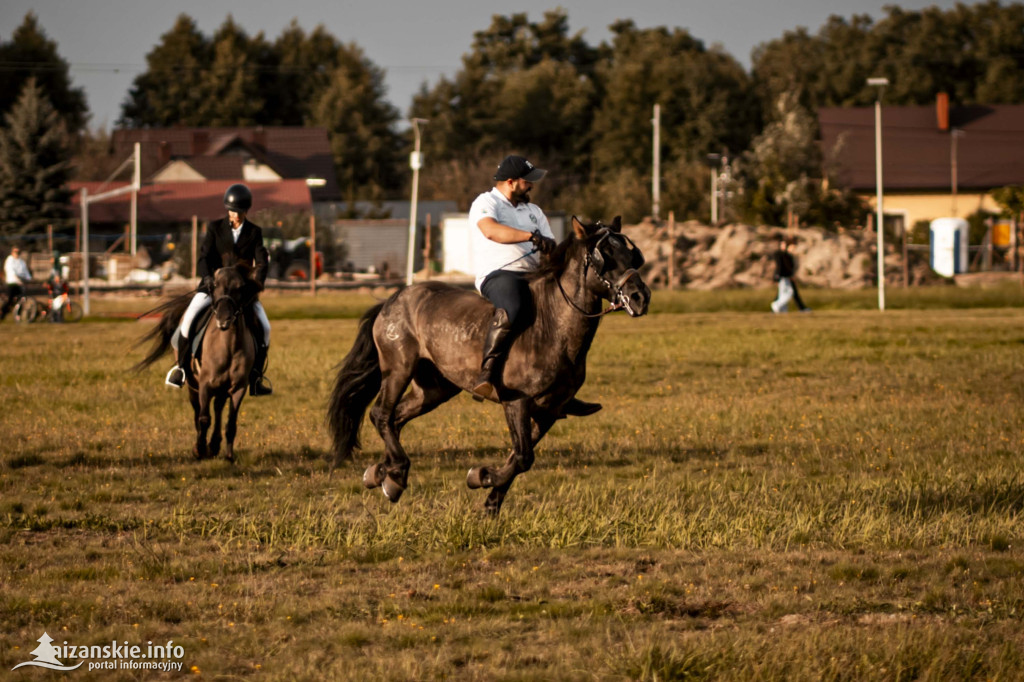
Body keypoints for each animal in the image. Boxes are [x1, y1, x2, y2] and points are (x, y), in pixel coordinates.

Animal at [134, 262, 262, 458]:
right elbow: (203, 418)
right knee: (198, 409)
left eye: (240, 287)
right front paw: (199, 449)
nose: (223, 319)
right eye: (214, 285)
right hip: (193, 384)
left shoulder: (238, 387)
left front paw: (228, 456)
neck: (229, 346)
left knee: (218, 407)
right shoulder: (205, 384)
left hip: (222, 386)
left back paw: (215, 444)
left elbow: (231, 422)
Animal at [325, 215, 647, 512]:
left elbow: (518, 457)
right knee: (381, 414)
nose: (640, 297)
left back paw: (385, 473)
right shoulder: (516, 402)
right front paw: (481, 477)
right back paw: (397, 472)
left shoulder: (550, 411)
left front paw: (492, 498)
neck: (553, 325)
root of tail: (392, 300)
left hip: (434, 389)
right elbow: (523, 457)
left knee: (396, 418)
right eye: (605, 256)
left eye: (632, 255)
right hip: (398, 370)